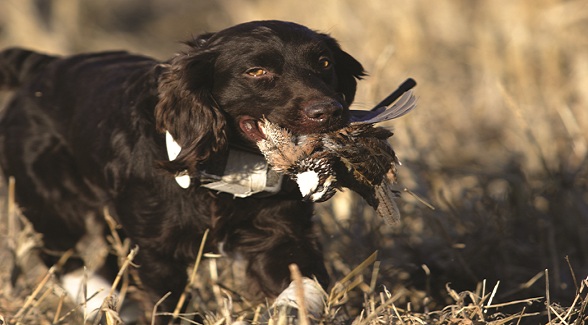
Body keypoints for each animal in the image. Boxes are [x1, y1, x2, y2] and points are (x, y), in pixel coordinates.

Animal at [0, 20, 362, 322]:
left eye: (324, 63)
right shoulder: (157, 250)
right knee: (63, 258)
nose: (328, 111)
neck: (226, 165)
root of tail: (42, 67)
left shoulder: (281, 232)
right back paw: (100, 302)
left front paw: (289, 311)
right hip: (51, 208)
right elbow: (169, 303)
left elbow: (302, 282)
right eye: (256, 71)